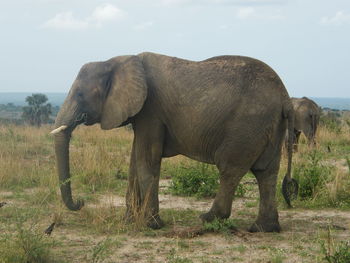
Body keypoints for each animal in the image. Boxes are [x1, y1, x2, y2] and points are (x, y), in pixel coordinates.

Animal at [51, 51, 296, 233]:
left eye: (80, 95)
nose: (81, 202)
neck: (118, 60)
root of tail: (285, 97)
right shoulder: (143, 114)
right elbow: (134, 162)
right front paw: (129, 222)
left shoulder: (151, 109)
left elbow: (146, 161)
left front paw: (151, 225)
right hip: (271, 126)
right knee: (266, 173)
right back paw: (264, 229)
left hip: (247, 125)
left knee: (230, 169)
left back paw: (207, 219)